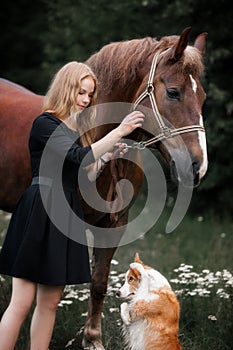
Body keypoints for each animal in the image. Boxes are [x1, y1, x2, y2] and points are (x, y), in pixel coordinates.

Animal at [0, 28, 208, 350]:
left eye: (203, 97)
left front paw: (93, 339)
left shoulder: (114, 225)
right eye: (174, 92)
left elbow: (99, 282)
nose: (197, 166)